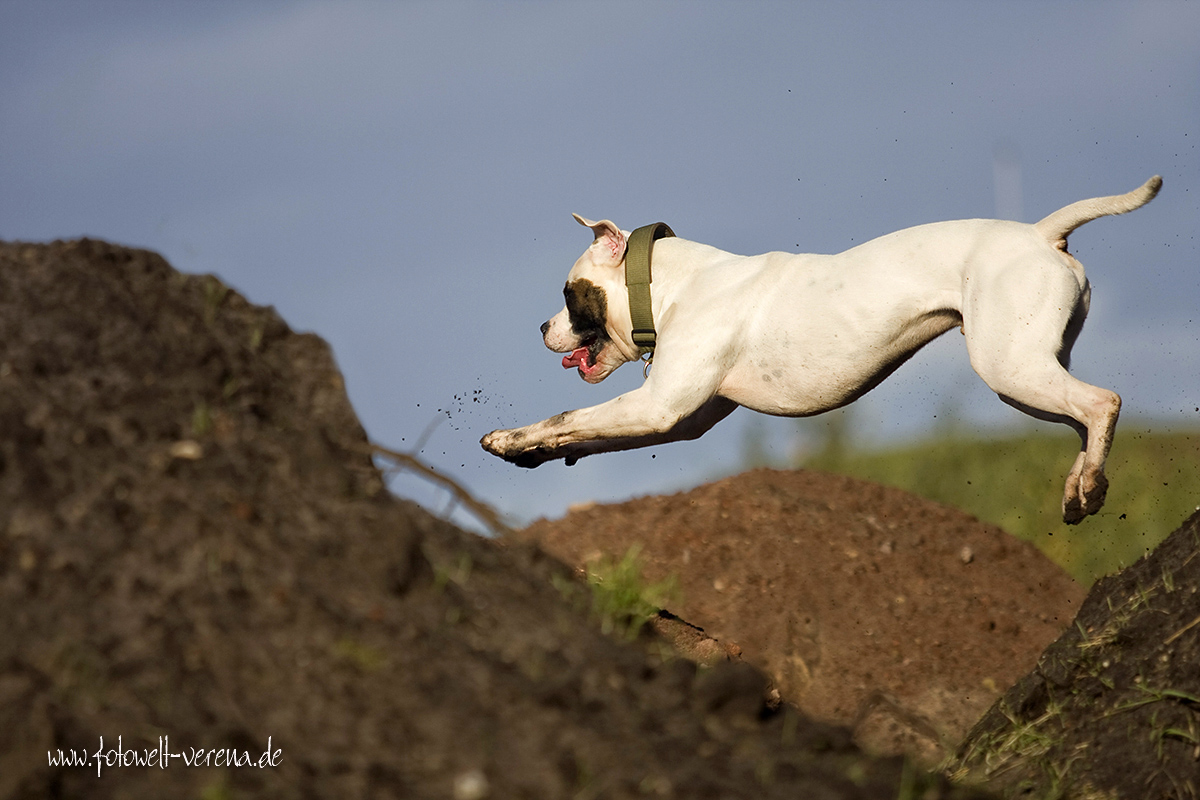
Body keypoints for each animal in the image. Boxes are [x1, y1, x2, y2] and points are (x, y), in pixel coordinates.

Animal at [480, 176, 1161, 525]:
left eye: (569, 294)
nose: (540, 327)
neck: (675, 283)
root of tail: (1042, 235)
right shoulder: (674, 419)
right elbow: (587, 431)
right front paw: (535, 454)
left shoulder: (659, 406)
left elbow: (567, 415)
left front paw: (510, 438)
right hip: (1032, 372)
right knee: (1082, 418)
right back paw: (1079, 487)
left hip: (1010, 370)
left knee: (1102, 403)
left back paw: (1090, 484)